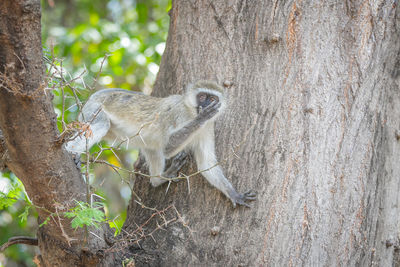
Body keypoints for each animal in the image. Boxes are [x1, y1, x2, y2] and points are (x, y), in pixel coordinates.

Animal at [66, 80, 256, 208]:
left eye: (212, 99)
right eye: (202, 96)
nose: (205, 105)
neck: (190, 112)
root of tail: (97, 95)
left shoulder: (208, 128)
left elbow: (206, 164)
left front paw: (234, 194)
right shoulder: (177, 113)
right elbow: (167, 147)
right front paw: (202, 117)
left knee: (151, 148)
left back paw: (159, 180)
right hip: (93, 110)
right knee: (101, 124)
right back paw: (70, 152)